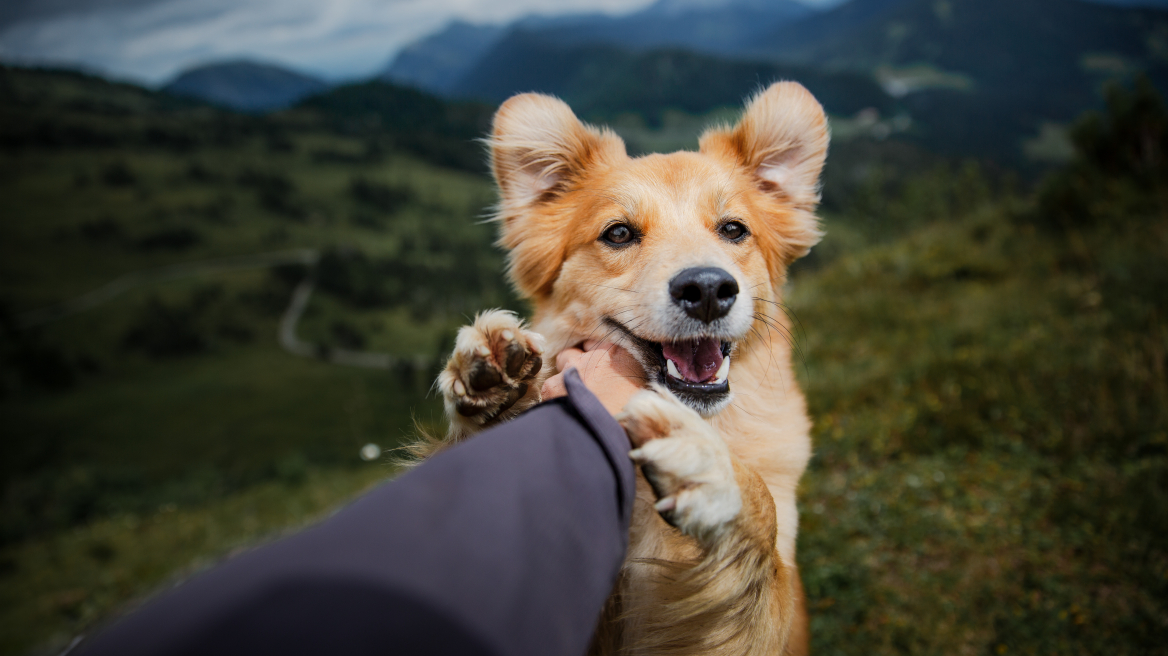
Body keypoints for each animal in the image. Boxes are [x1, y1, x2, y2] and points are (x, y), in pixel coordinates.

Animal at [427, 82, 822, 653]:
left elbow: (764, 527)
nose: (708, 289)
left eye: (733, 229)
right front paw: (492, 385)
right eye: (618, 234)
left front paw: (710, 465)